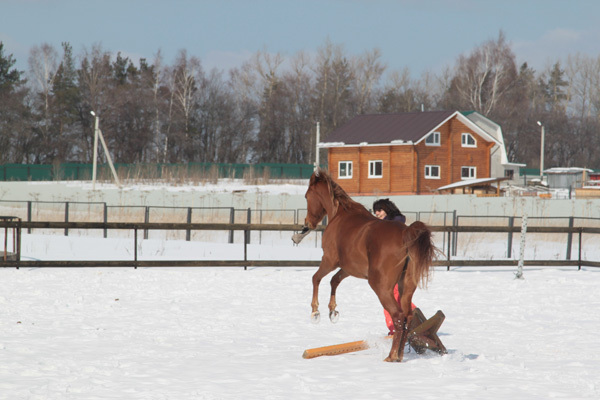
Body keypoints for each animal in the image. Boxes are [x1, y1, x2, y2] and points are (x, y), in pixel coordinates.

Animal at [300, 170, 436, 362]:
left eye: (307, 196)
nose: (307, 224)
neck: (339, 215)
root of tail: (406, 234)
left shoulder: (329, 260)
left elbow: (316, 278)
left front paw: (315, 312)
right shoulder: (349, 268)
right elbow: (334, 281)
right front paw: (333, 312)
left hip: (381, 287)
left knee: (398, 316)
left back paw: (392, 356)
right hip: (406, 286)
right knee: (408, 316)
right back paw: (399, 355)